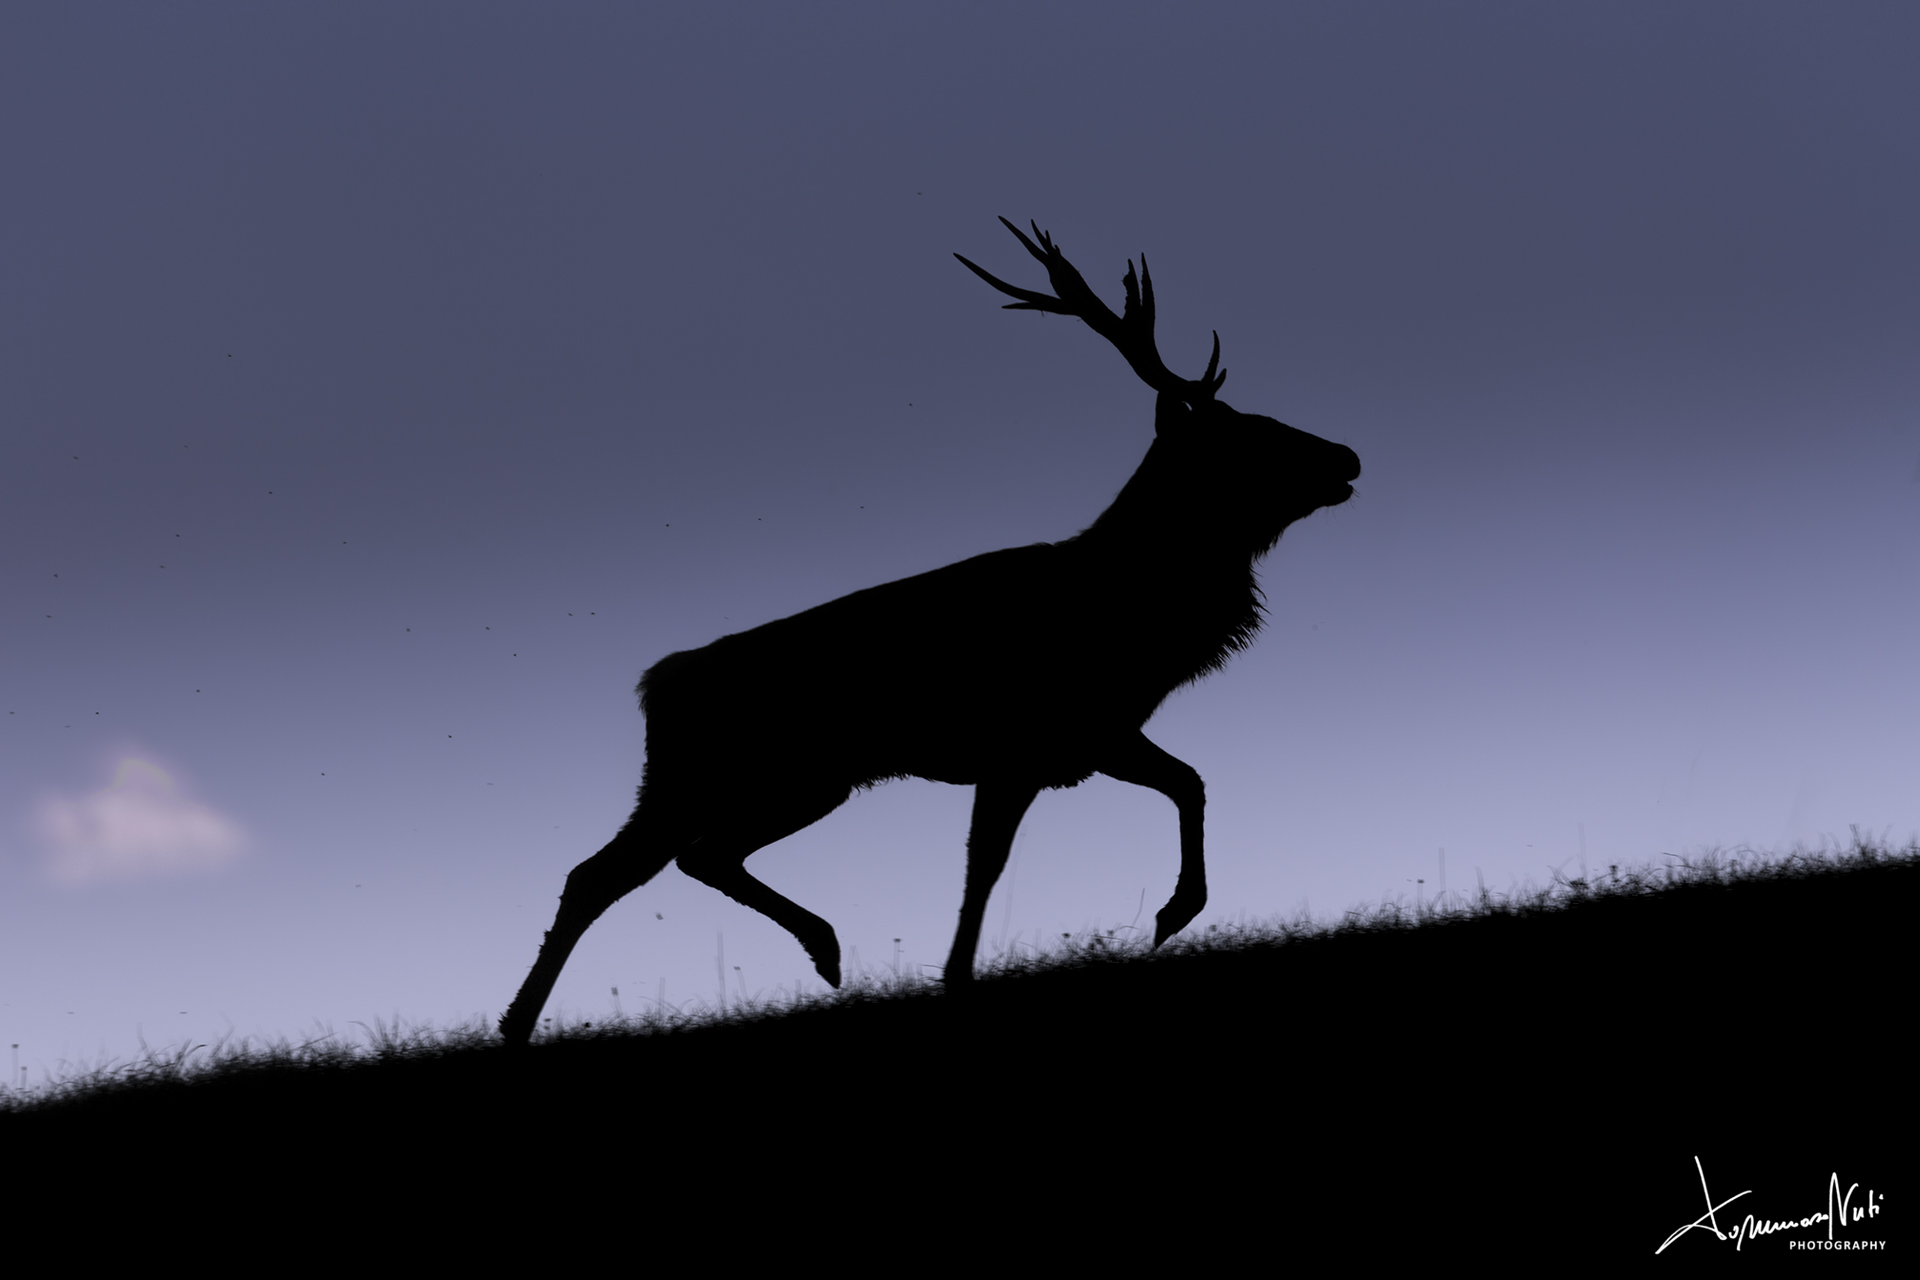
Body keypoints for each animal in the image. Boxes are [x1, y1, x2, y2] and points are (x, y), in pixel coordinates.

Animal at [497, 218, 1360, 1047]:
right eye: (1248, 436)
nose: (1347, 455)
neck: (1141, 617)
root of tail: (654, 684)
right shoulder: (1034, 740)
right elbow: (994, 862)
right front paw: (986, 968)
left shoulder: (1086, 739)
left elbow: (1184, 783)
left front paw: (1160, 915)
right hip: (724, 776)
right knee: (614, 872)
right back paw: (524, 1021)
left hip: (776, 781)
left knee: (680, 858)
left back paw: (815, 951)